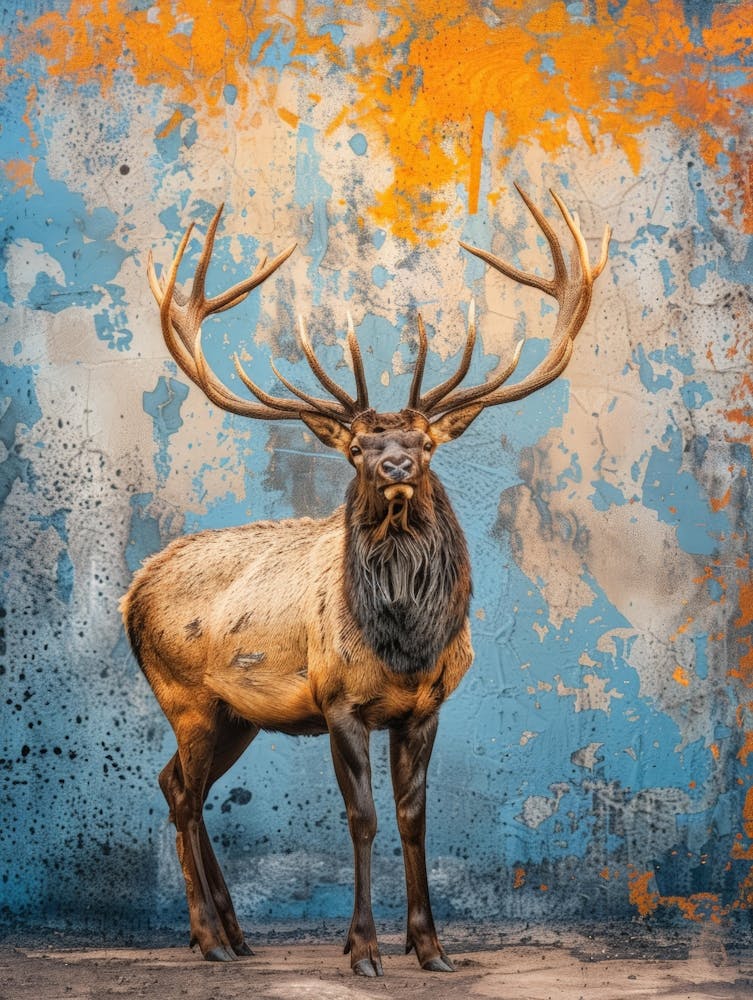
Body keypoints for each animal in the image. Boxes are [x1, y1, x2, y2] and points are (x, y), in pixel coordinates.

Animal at [121, 186, 610, 976]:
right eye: (356, 448)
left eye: (425, 443)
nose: (395, 466)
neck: (404, 644)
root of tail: (130, 591)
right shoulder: (337, 700)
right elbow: (362, 817)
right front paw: (362, 950)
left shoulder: (426, 706)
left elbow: (412, 818)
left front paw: (431, 947)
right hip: (184, 693)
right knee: (186, 796)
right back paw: (209, 939)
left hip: (234, 714)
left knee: (172, 782)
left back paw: (233, 932)